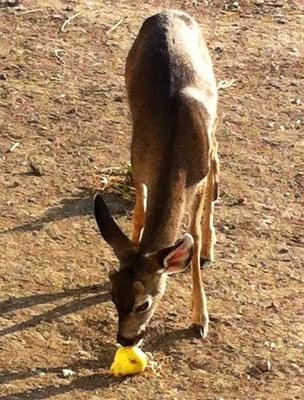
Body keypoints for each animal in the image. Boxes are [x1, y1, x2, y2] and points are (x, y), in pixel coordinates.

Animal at [93, 10, 218, 346]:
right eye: (113, 297)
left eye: (143, 304)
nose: (125, 340)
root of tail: (169, 12)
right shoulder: (139, 164)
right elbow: (139, 215)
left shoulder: (197, 178)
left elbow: (192, 234)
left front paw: (200, 317)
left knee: (216, 157)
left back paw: (209, 246)